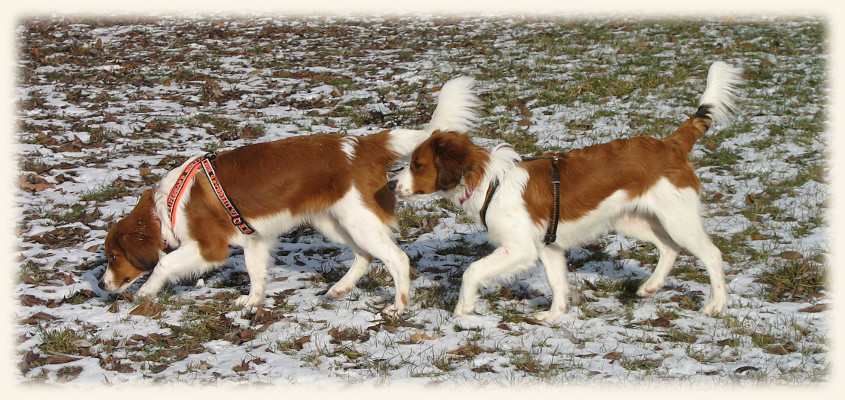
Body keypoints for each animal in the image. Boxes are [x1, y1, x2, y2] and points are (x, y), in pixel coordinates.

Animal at [100, 76, 474, 316]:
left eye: (114, 257)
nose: (102, 286)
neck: (167, 206)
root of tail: (362, 144)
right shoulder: (253, 239)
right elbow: (256, 273)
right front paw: (252, 302)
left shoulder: (209, 247)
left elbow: (163, 263)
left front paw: (144, 292)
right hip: (333, 221)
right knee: (365, 256)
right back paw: (340, 288)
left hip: (358, 220)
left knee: (396, 259)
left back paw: (398, 306)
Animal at [390, 61, 740, 320]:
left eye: (417, 164)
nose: (392, 185)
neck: (490, 183)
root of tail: (670, 145)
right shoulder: (549, 247)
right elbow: (557, 282)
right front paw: (553, 316)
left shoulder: (520, 249)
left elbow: (472, 271)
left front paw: (462, 308)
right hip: (633, 219)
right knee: (669, 248)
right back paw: (651, 286)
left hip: (677, 218)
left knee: (711, 254)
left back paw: (715, 304)